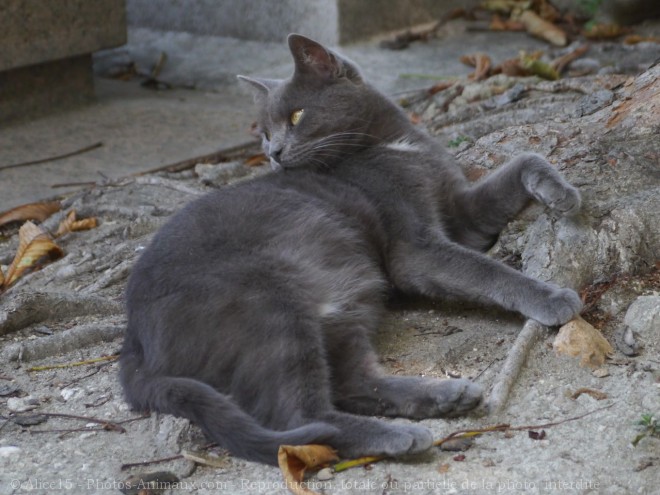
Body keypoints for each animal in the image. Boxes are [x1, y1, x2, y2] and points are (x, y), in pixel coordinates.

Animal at [120, 34, 584, 464]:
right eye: (265, 133)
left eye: (296, 115)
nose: (273, 153)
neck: (396, 143)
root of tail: (134, 340)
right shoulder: (416, 249)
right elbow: (486, 271)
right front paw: (553, 297)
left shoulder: (461, 212)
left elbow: (524, 160)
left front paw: (561, 192)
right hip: (267, 297)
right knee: (299, 419)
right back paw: (400, 436)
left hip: (346, 299)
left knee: (351, 384)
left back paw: (447, 397)